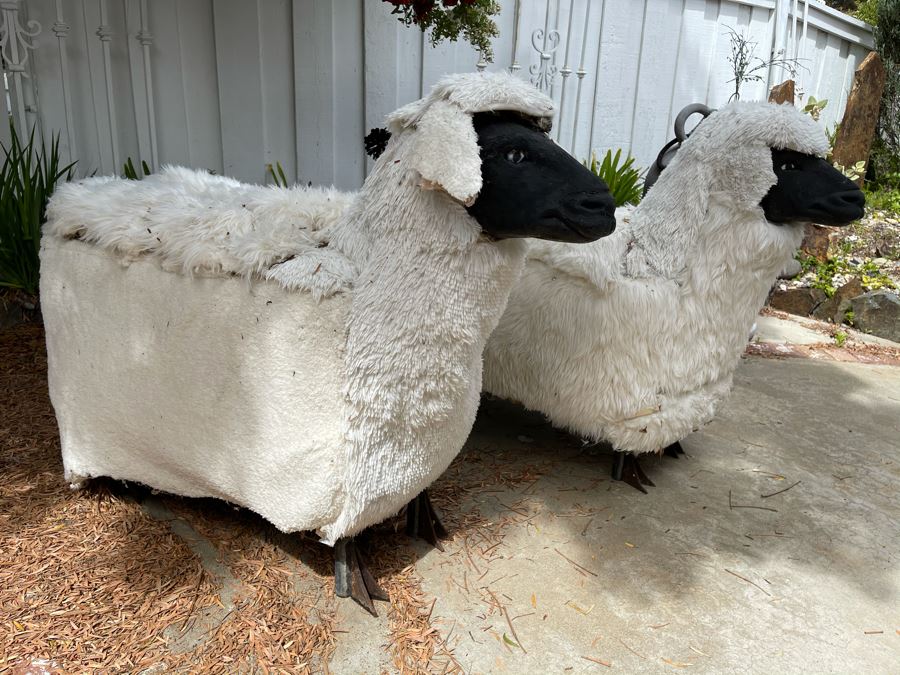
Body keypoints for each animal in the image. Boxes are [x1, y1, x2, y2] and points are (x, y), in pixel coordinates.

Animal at [39, 71, 616, 614]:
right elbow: (345, 539)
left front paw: (426, 520)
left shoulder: (412, 445)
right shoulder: (343, 470)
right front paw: (355, 579)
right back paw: (125, 483)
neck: (366, 266)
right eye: (513, 153)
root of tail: (79, 193)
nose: (604, 203)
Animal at [481, 101, 865, 492]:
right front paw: (630, 471)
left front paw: (674, 447)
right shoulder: (631, 397)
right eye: (787, 164)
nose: (856, 198)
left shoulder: (692, 390)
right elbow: (629, 441)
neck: (664, 261)